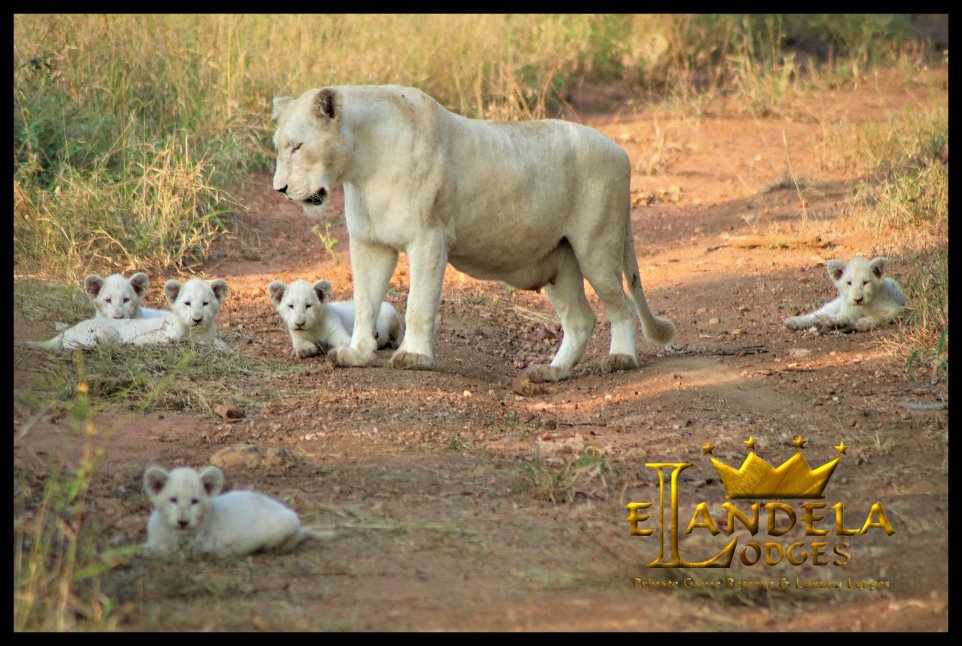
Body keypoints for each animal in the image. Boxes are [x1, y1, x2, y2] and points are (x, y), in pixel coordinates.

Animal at [18, 277, 229, 353]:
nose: (197, 319)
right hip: (105, 332)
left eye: (205, 304)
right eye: (187, 303)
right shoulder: (161, 338)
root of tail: (59, 337)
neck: (199, 333)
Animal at [268, 278, 402, 359]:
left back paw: (393, 343)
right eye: (290, 306)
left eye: (308, 306)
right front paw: (302, 351)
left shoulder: (339, 333)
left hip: (393, 315)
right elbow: (303, 346)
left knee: (395, 335)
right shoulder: (298, 338)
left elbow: (344, 343)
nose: (299, 323)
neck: (314, 327)